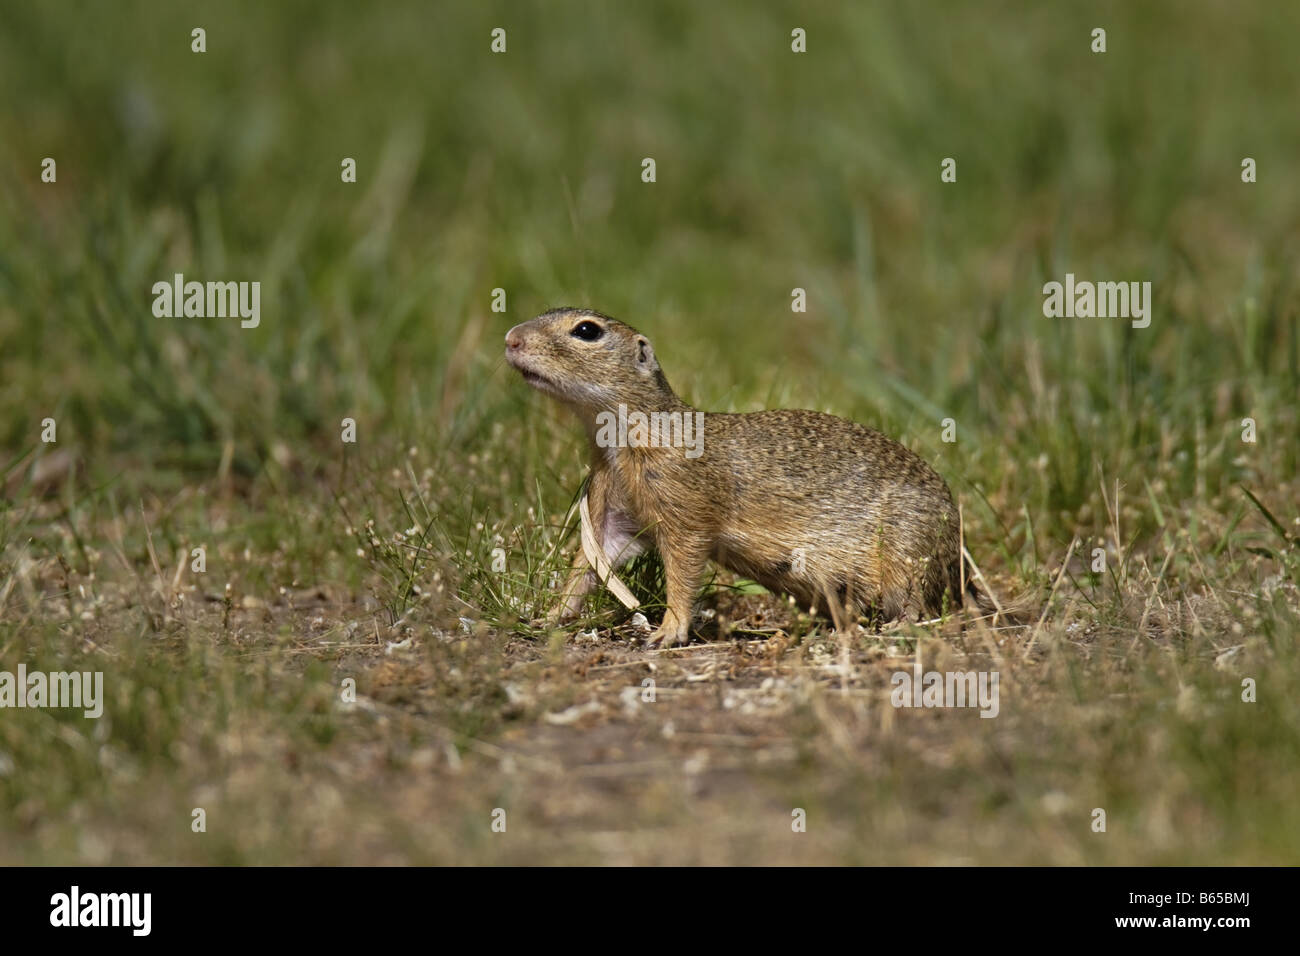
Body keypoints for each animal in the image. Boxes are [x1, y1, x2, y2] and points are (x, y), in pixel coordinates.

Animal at [506, 310, 993, 647]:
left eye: (587, 330)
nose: (510, 338)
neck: (623, 436)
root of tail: (958, 555)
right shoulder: (614, 504)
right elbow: (591, 562)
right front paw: (549, 616)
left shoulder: (685, 507)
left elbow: (683, 568)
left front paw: (669, 630)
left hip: (906, 553)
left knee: (922, 605)